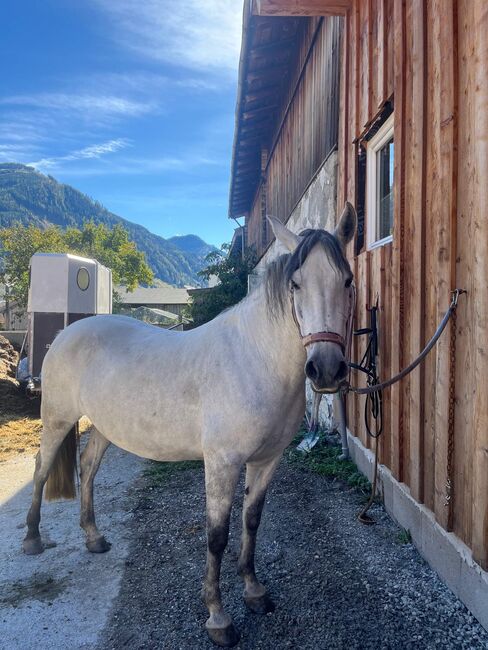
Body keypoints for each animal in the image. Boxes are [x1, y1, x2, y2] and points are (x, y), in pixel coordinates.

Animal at [22, 202, 356, 644]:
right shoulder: (222, 463)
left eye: (347, 280)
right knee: (42, 470)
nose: (327, 370)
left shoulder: (267, 461)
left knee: (87, 467)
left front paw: (254, 592)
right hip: (57, 419)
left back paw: (94, 538)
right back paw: (32, 539)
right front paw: (218, 617)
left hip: (106, 428)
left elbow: (252, 522)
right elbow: (217, 535)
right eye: (296, 284)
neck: (254, 360)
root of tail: (65, 334)